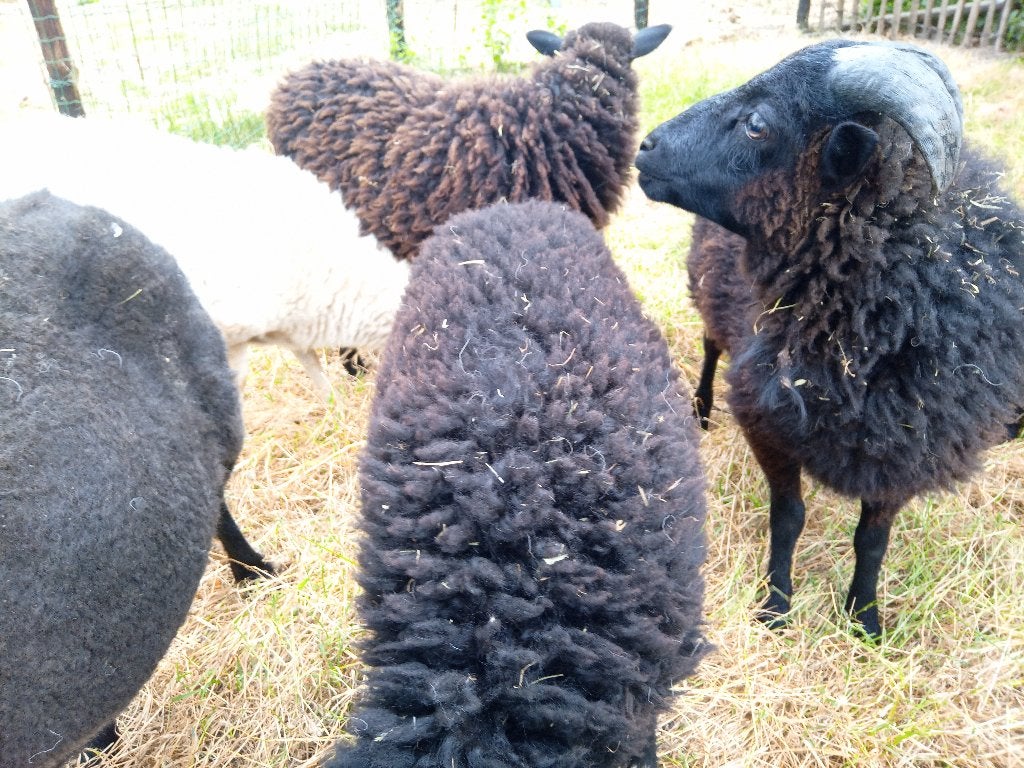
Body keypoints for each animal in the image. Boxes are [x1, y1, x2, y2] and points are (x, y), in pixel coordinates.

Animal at [635, 39, 1024, 639]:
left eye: (758, 124)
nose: (647, 145)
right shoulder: (765, 420)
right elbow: (789, 517)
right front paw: (775, 606)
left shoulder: (906, 451)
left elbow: (873, 540)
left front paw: (865, 619)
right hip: (707, 291)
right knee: (710, 346)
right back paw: (698, 408)